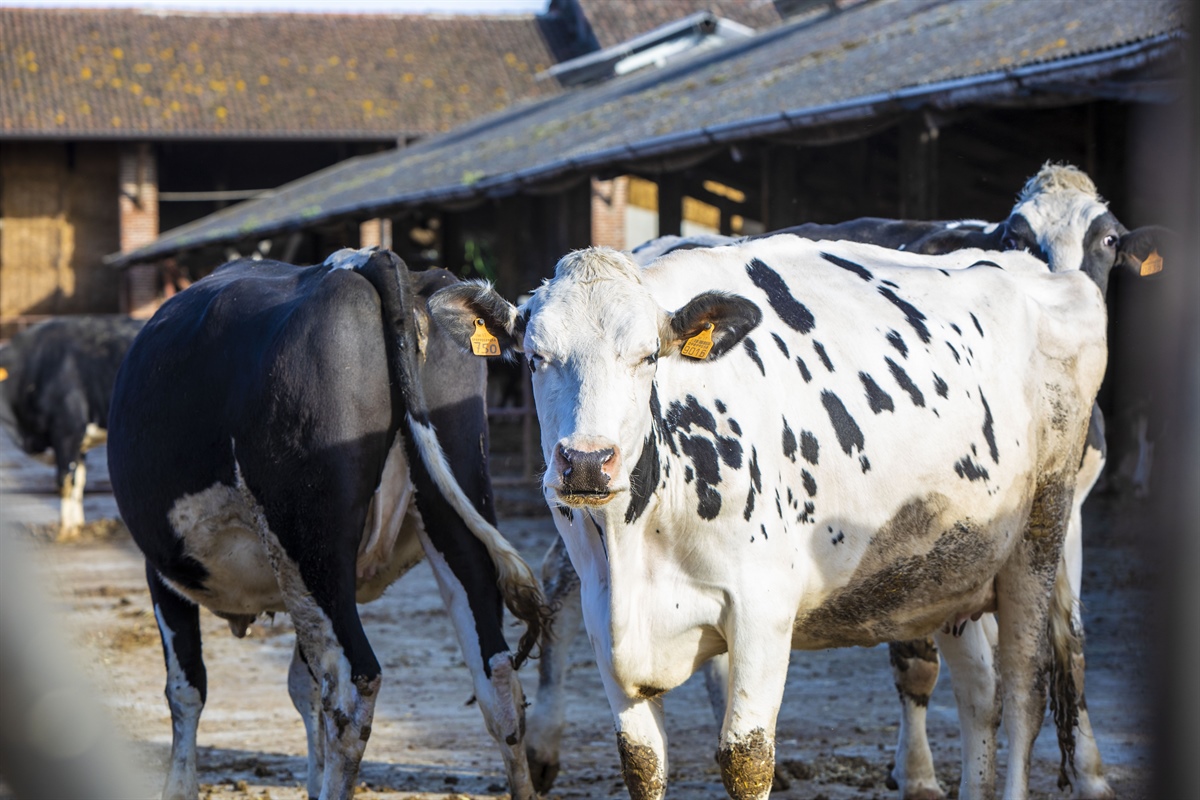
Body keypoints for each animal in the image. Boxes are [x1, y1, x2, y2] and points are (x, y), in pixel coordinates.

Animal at [0, 314, 144, 537]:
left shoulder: (67, 431)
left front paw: (65, 531)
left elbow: (65, 482)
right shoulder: (79, 442)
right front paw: (77, 526)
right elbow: (79, 482)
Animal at [105, 248, 547, 800]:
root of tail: (368, 260)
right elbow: (302, 686)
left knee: (352, 688)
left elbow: (187, 688)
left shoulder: (163, 569)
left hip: (311, 544)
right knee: (498, 681)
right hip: (454, 500)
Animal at [429, 236, 1104, 800]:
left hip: (1040, 535)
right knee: (979, 693)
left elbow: (746, 759)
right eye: (534, 357)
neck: (634, 545)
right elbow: (642, 764)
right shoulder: (605, 621)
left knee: (1024, 693)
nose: (588, 462)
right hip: (946, 571)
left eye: (648, 357)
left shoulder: (762, 610)